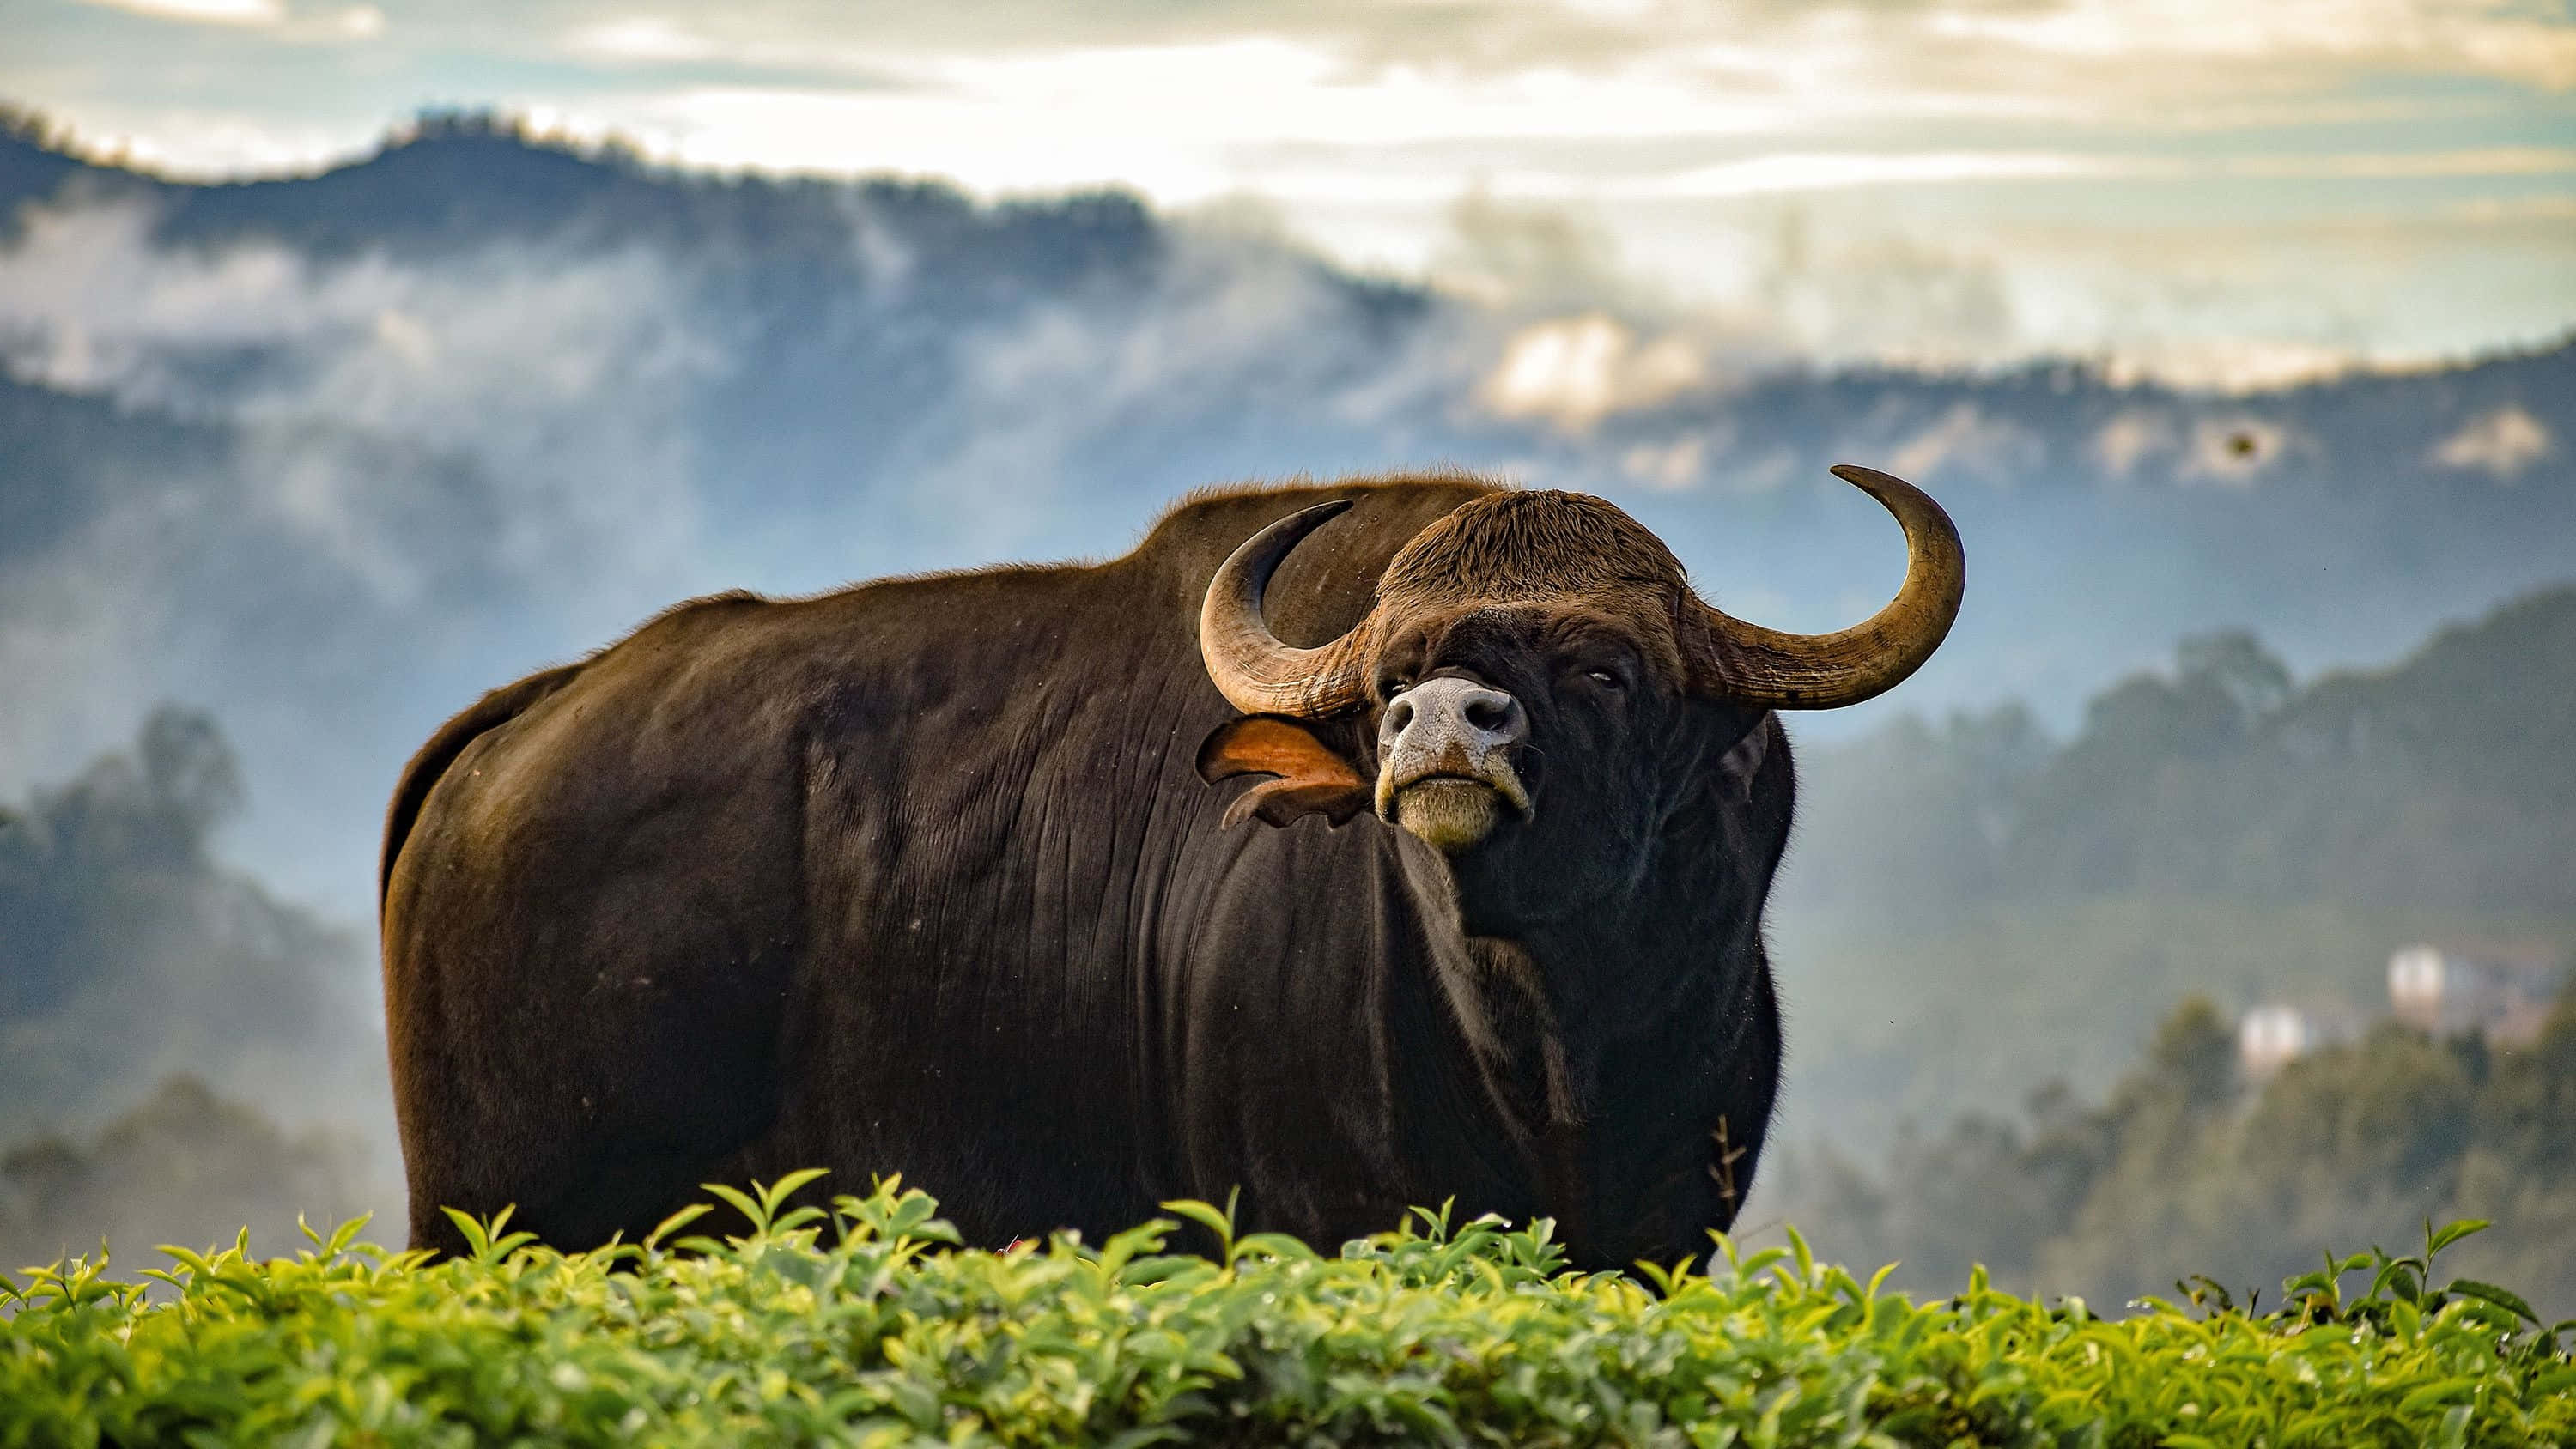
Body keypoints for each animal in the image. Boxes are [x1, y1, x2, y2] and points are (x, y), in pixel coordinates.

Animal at [380, 466, 1962, 1268]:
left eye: (1605, 665)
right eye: (1393, 675)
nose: (1438, 726)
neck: (1550, 1056)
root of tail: (530, 717)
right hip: (512, 1218)